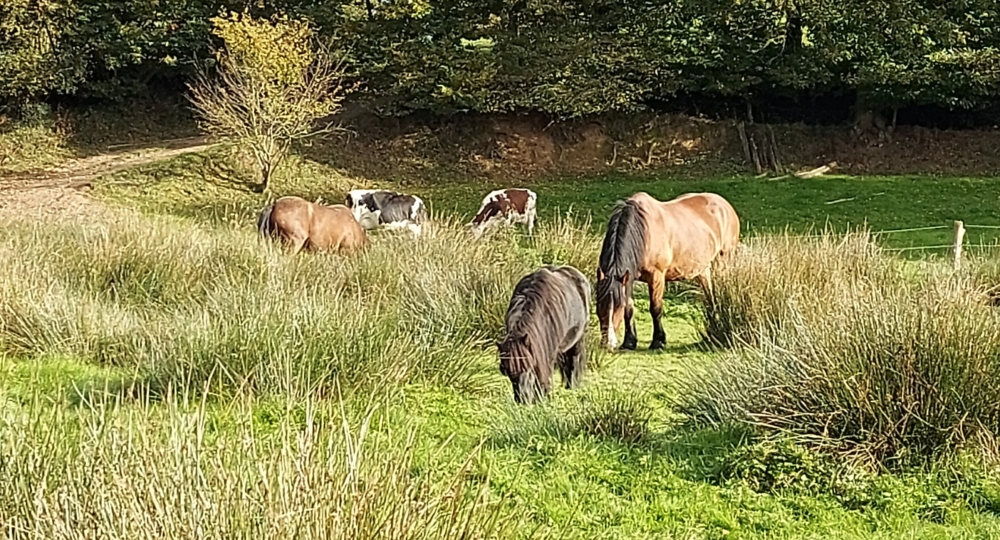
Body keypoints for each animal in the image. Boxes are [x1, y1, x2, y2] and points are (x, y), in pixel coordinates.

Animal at [496, 266, 588, 404]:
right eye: (508, 372)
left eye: (528, 367)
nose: (522, 400)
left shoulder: (547, 352)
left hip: (578, 340)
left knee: (574, 363)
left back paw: (572, 386)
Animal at [592, 192, 744, 352]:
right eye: (599, 305)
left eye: (617, 307)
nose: (608, 344)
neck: (644, 233)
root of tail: (725, 205)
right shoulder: (628, 278)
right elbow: (630, 308)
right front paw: (629, 342)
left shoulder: (656, 277)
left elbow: (655, 308)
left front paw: (658, 341)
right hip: (703, 271)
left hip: (723, 263)